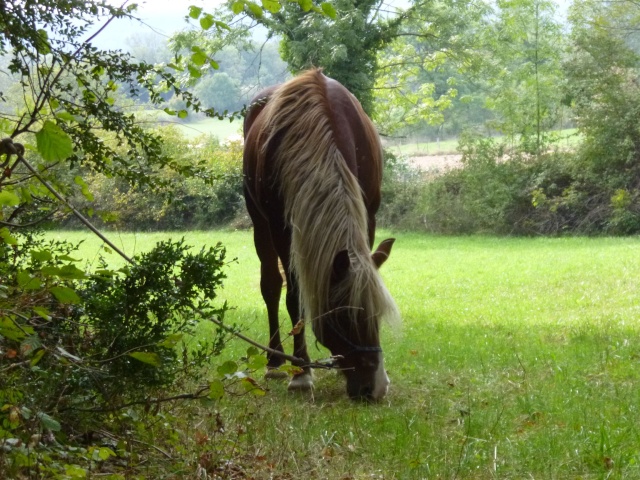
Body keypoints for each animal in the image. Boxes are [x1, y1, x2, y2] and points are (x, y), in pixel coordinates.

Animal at [242, 68, 398, 402]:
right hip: (260, 223)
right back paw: (275, 362)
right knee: (270, 286)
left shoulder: (368, 215)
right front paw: (301, 372)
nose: (374, 388)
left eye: (376, 314)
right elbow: (294, 296)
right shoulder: (282, 228)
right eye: (343, 318)